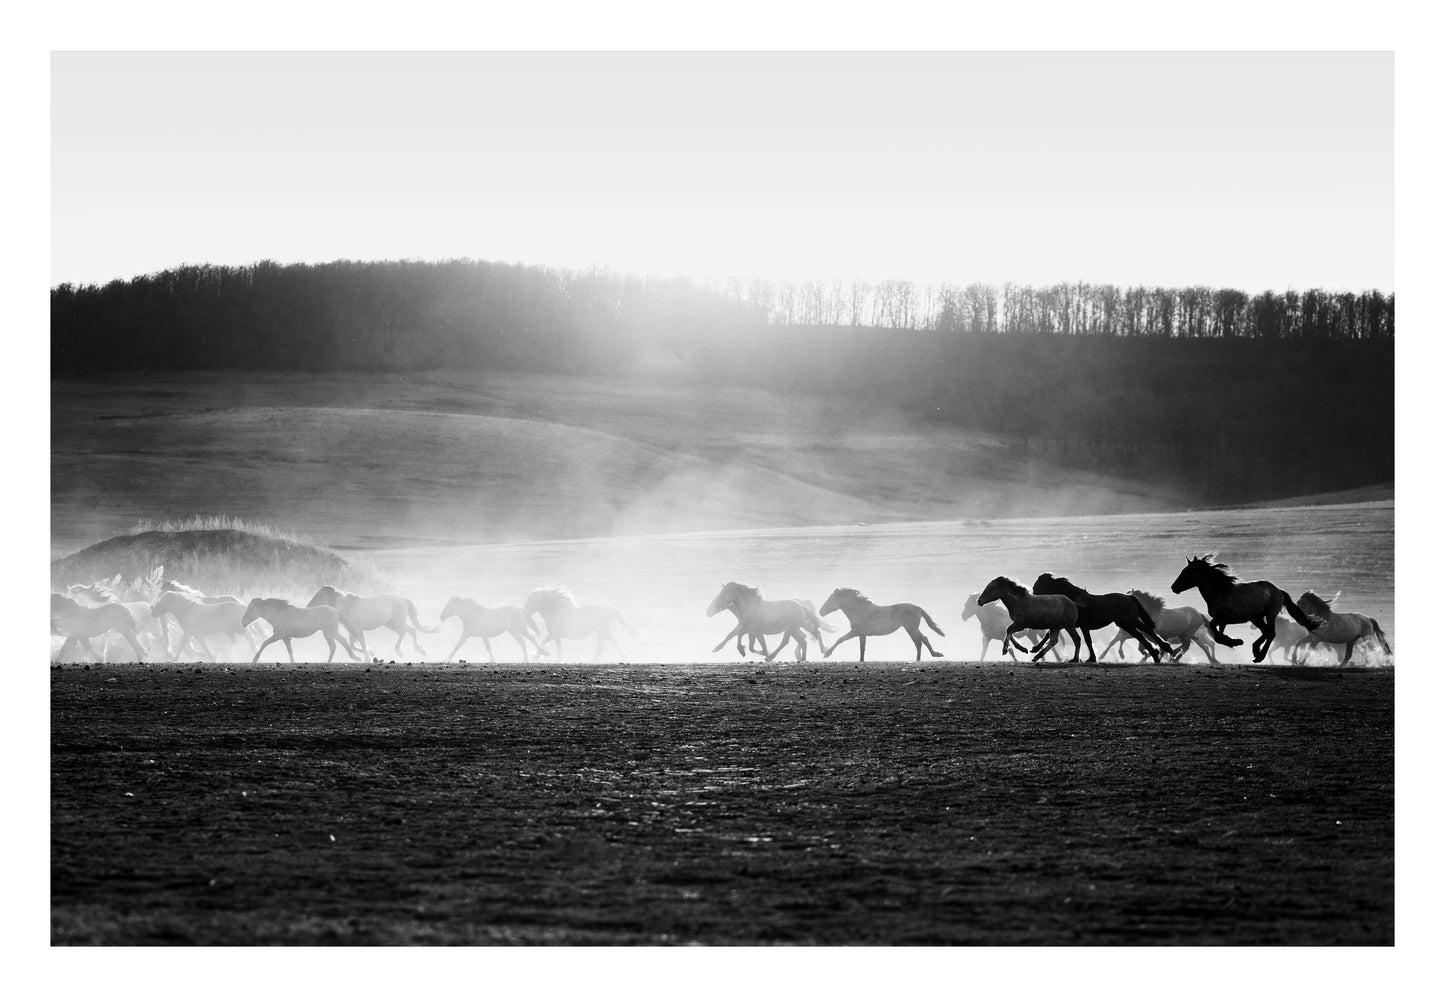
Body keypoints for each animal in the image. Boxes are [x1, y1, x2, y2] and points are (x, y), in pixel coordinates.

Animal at [306, 585, 436, 660]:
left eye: (320, 596)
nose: (308, 606)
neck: (348, 607)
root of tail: (403, 599)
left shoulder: (358, 630)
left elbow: (362, 644)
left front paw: (368, 658)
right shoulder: (352, 631)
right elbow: (353, 645)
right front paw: (371, 653)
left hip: (397, 622)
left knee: (406, 631)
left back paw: (401, 651)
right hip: (391, 624)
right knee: (410, 630)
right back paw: (419, 650)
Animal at [1032, 574, 1173, 664]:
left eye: (1038, 586)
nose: (1033, 595)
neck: (1074, 599)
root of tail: (1130, 597)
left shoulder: (1082, 626)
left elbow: (1088, 641)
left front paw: (1092, 658)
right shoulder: (1068, 624)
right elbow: (1049, 634)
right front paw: (1035, 649)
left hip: (1130, 621)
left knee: (1147, 631)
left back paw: (1164, 649)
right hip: (1125, 624)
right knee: (1140, 636)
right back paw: (1156, 655)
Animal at [1170, 555, 1317, 663]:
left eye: (1186, 572)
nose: (1173, 587)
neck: (1219, 592)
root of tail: (1278, 590)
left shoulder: (1224, 617)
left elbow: (1213, 627)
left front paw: (1235, 641)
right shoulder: (1222, 620)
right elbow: (1217, 635)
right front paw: (1233, 641)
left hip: (1270, 614)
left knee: (1271, 633)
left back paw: (1259, 655)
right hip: (1256, 618)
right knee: (1266, 632)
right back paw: (1255, 649)